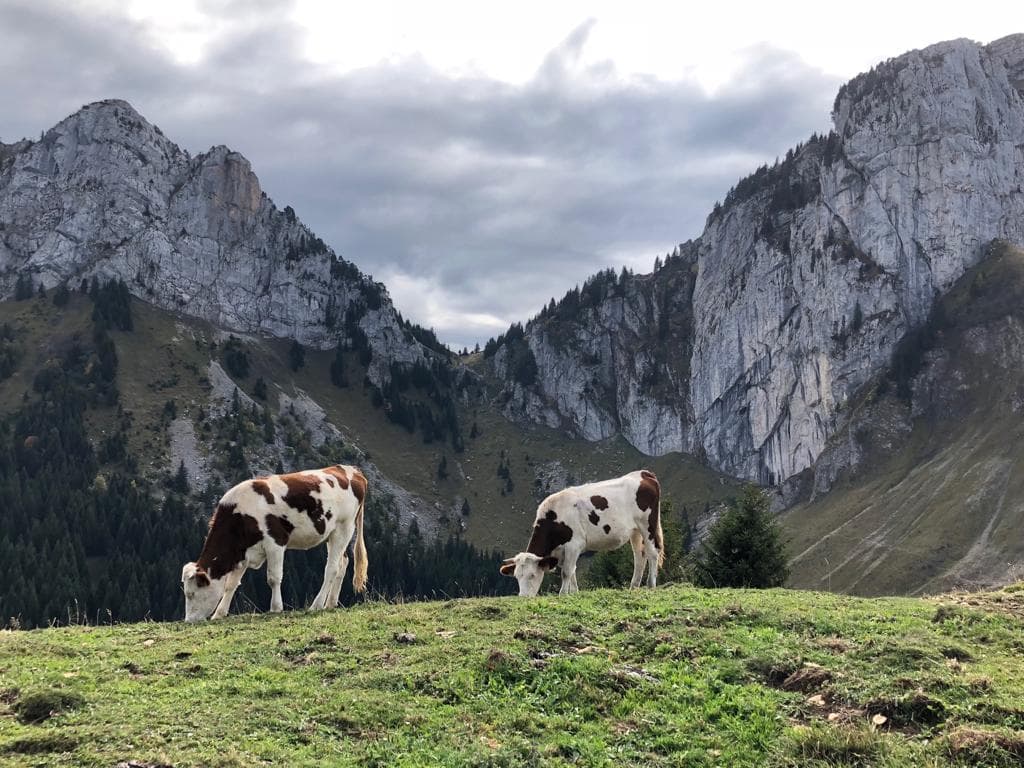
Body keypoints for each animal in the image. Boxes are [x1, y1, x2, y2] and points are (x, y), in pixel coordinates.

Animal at [182, 466, 370, 622]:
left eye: (191, 594)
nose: (189, 620)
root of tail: (351, 471)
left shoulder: (275, 542)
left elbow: (274, 578)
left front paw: (276, 608)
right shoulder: (242, 553)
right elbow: (231, 585)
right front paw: (219, 613)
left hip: (344, 528)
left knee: (331, 569)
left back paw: (316, 605)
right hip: (332, 535)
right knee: (343, 562)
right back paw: (330, 603)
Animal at [497, 468, 663, 602]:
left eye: (532, 575)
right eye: (517, 576)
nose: (523, 597)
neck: (554, 518)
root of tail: (643, 474)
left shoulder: (574, 545)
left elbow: (566, 572)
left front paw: (563, 594)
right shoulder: (563, 552)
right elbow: (572, 571)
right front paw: (574, 593)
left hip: (648, 524)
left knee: (652, 553)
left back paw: (651, 585)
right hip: (635, 531)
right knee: (639, 556)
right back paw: (633, 586)